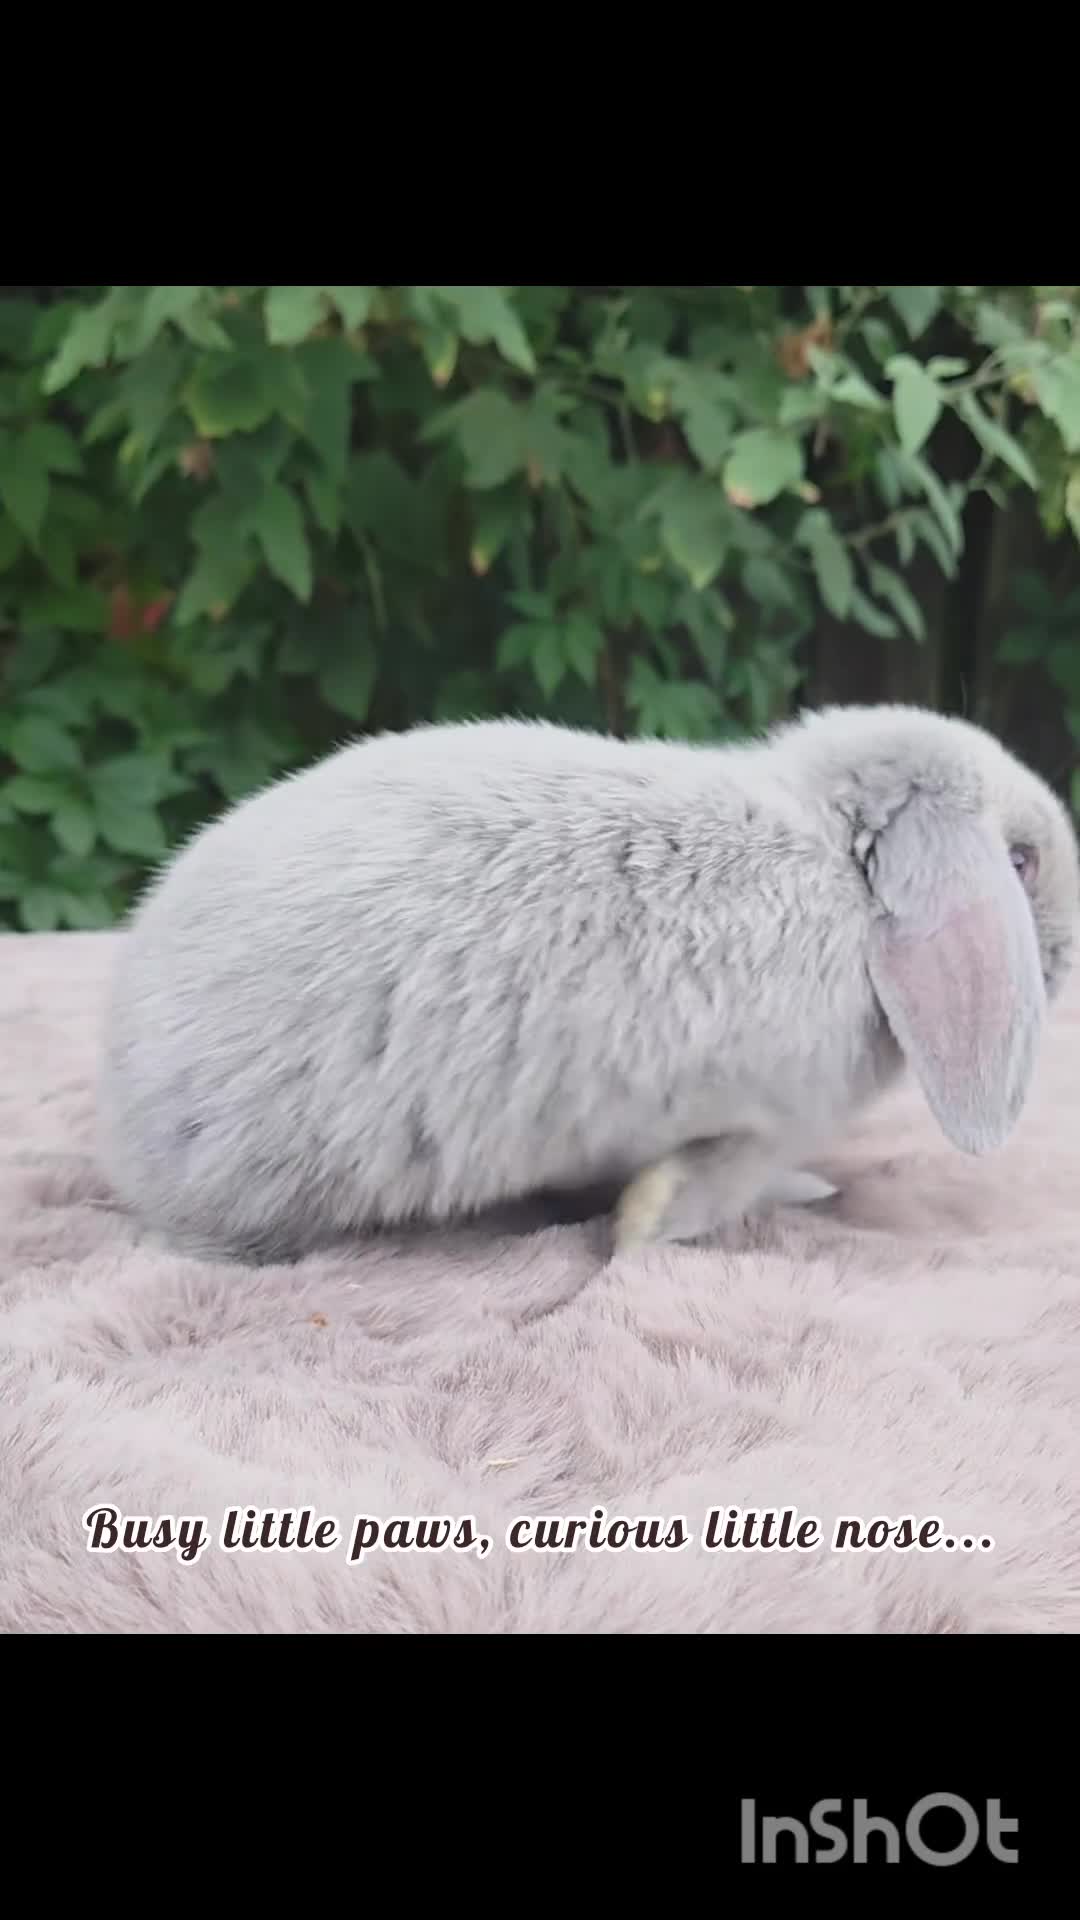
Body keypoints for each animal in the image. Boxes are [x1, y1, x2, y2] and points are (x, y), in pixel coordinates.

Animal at [95, 702, 1079, 1265]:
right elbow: (714, 1184)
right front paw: (647, 1230)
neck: (839, 870)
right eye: (1020, 862)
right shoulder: (766, 1119)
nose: (1064, 959)